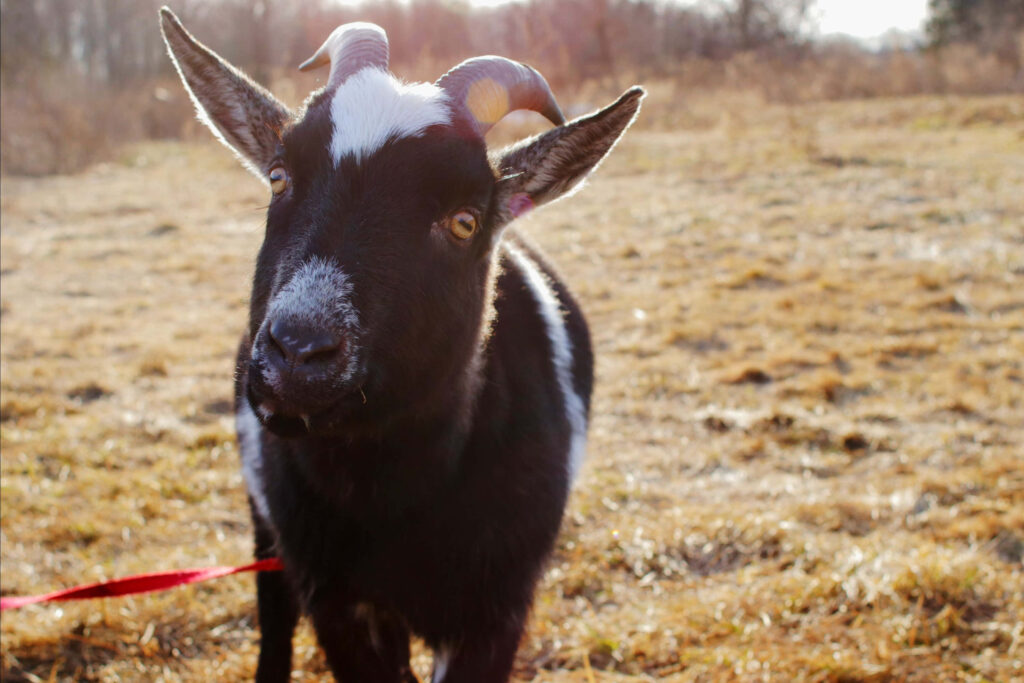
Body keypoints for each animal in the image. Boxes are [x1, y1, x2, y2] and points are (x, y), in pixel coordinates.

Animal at [160, 8, 642, 682]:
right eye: (279, 178)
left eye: (465, 221)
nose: (297, 352)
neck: (395, 492)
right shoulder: (338, 600)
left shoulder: (494, 608)